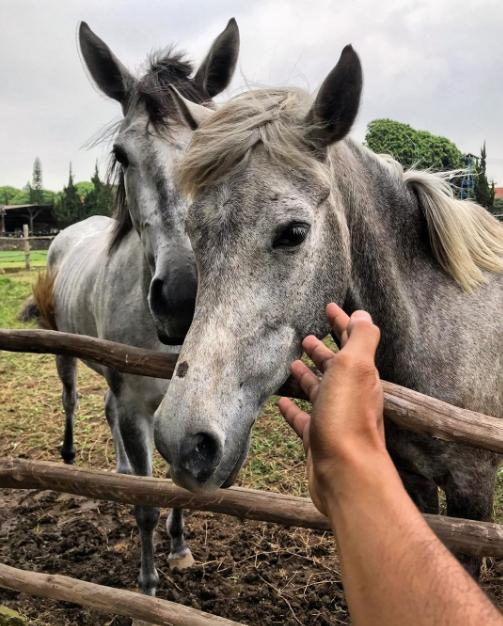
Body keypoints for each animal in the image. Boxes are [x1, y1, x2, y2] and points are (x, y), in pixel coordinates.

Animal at [156, 47, 503, 576]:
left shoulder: (473, 491)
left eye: (294, 232)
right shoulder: (413, 478)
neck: (440, 326)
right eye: (195, 230)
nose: (183, 443)